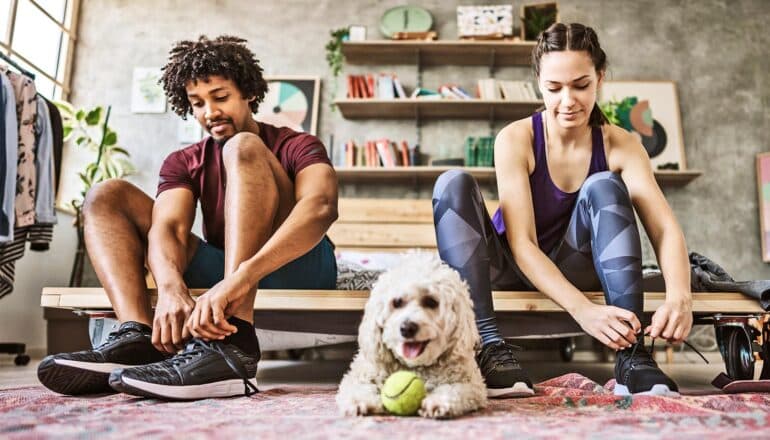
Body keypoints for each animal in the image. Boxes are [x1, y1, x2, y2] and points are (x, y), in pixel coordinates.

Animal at [334, 253, 484, 418]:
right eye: (397, 302)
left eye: (431, 302)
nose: (407, 328)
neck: (414, 365)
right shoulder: (361, 374)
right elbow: (357, 387)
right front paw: (359, 402)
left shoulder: (471, 384)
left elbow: (454, 390)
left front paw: (437, 402)